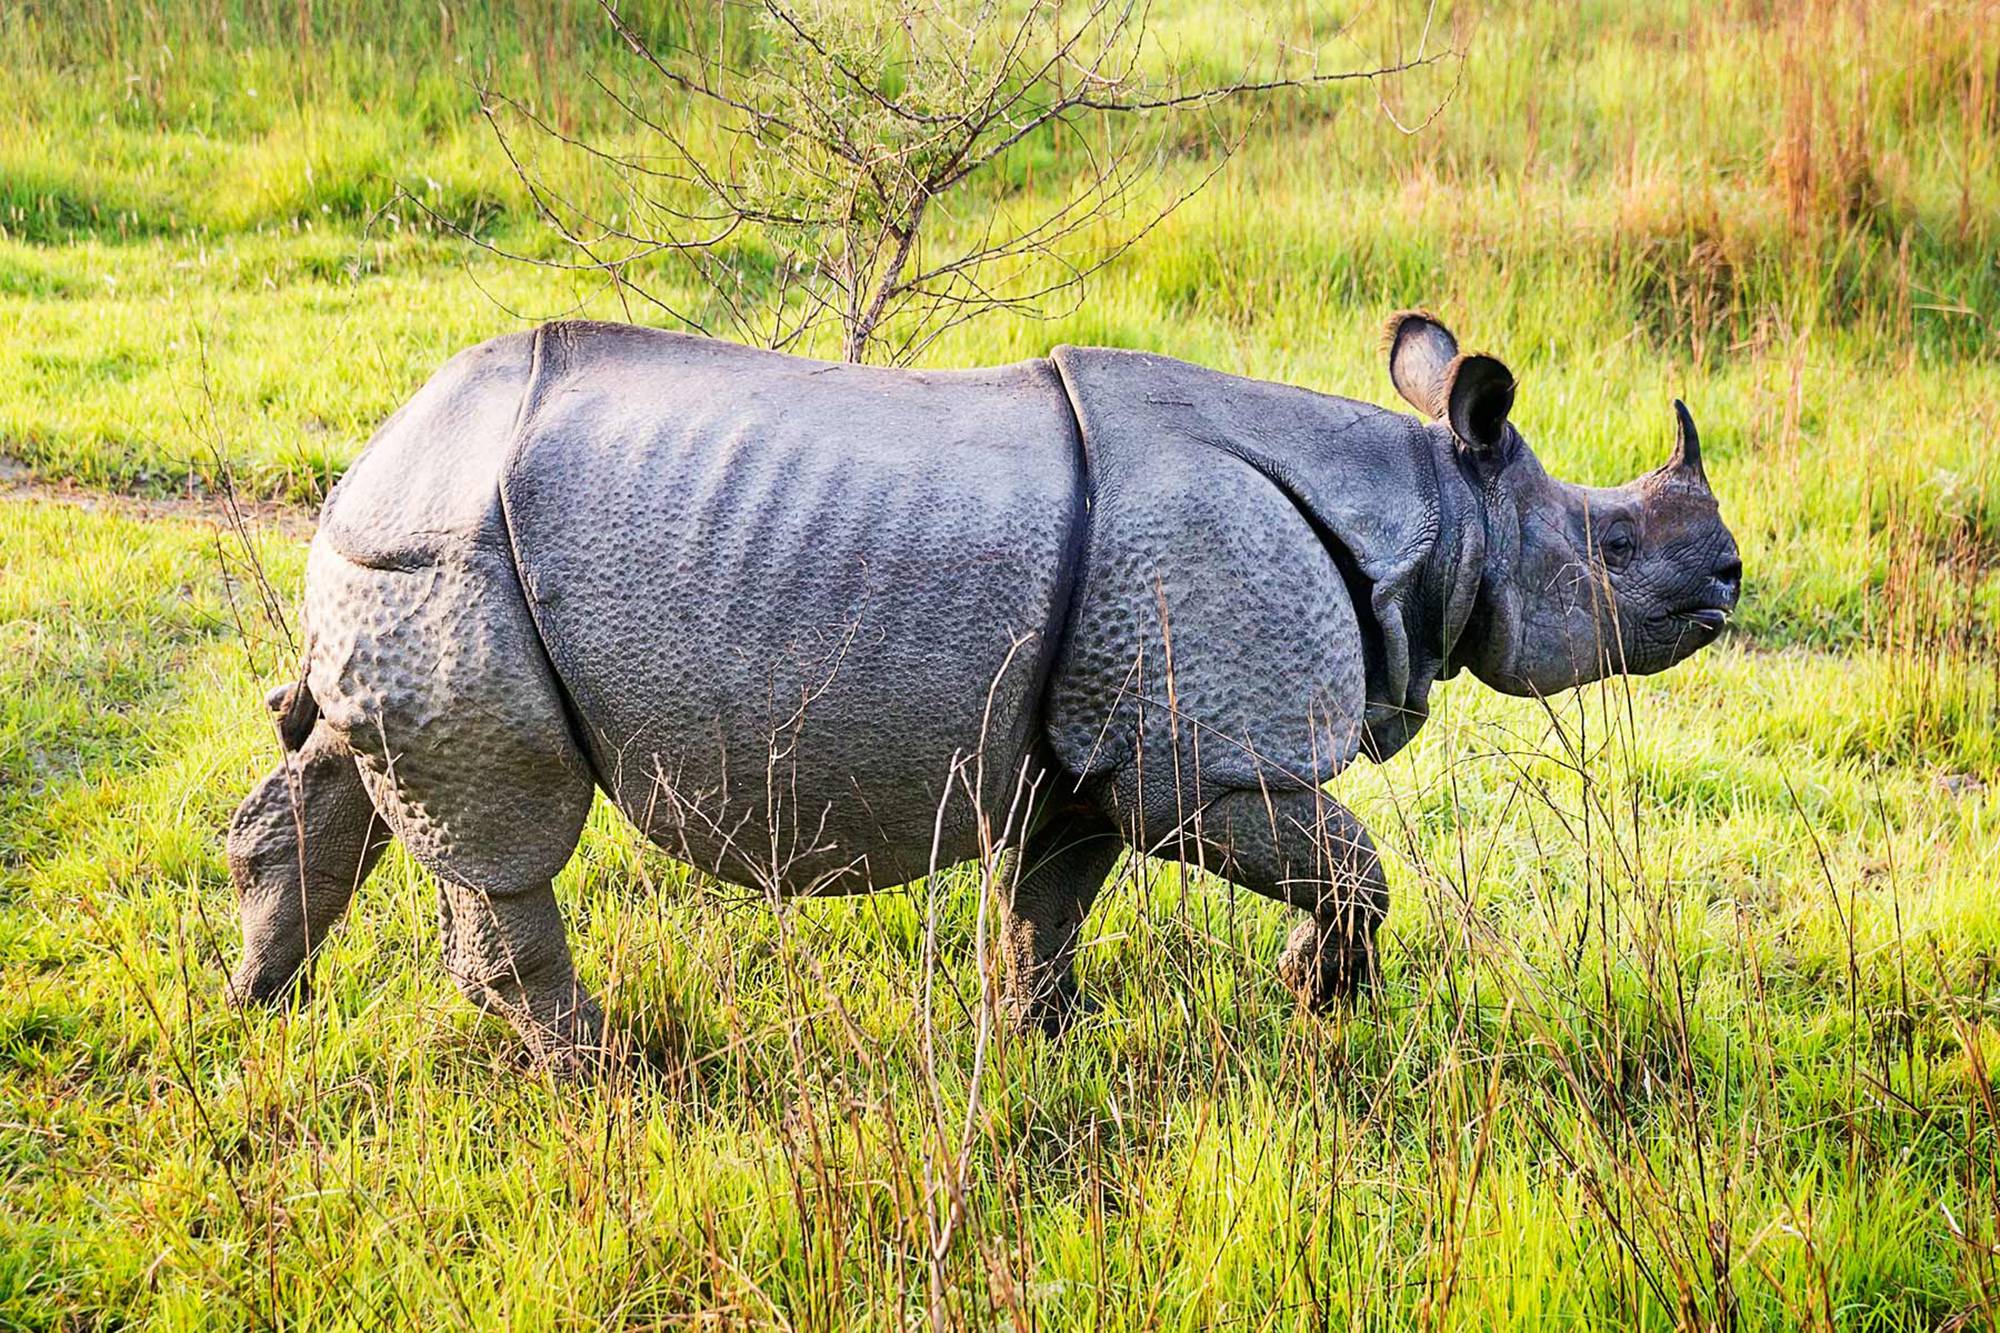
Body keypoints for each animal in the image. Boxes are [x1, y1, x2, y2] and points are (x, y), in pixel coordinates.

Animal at [227, 308, 1744, 1056]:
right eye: (1613, 549)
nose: (1731, 575)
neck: (1437, 513)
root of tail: (377, 455)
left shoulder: (1091, 744)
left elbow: (1046, 905)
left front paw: (1043, 1042)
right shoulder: (1204, 759)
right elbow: (1352, 865)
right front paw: (1315, 1002)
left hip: (413, 558)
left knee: (357, 772)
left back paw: (260, 1004)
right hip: (457, 558)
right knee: (507, 842)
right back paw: (606, 1073)